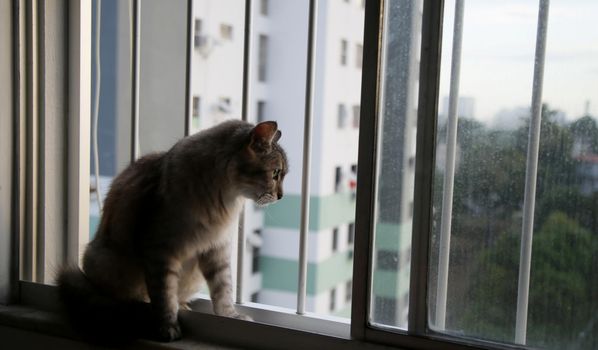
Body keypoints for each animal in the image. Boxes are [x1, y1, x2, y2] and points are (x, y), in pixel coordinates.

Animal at [57, 119, 290, 342]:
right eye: (275, 173)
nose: (281, 196)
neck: (222, 196)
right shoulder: (161, 251)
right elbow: (164, 297)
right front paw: (167, 327)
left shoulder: (217, 248)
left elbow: (223, 290)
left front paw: (229, 315)